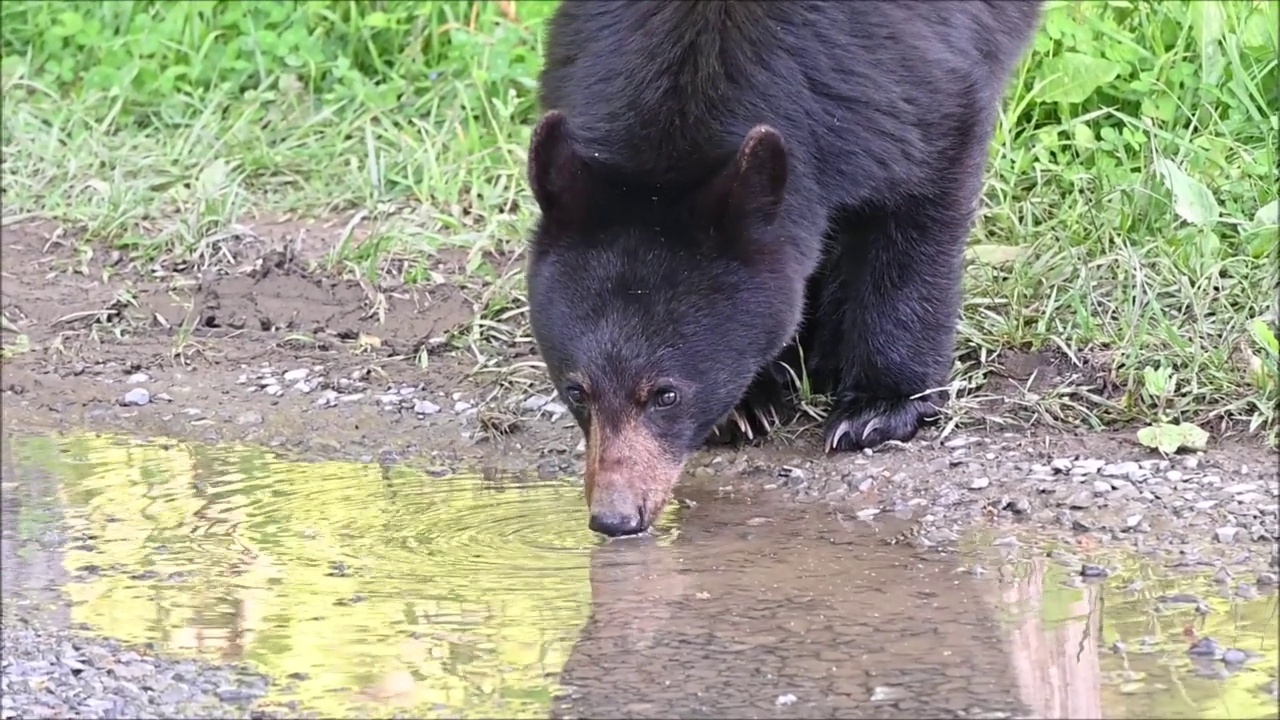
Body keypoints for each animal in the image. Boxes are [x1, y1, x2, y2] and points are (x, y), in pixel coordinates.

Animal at [524, 1, 1044, 532]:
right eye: (576, 391)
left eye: (666, 394)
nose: (615, 517)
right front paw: (748, 403)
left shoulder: (895, 81)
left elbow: (926, 192)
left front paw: (880, 407)